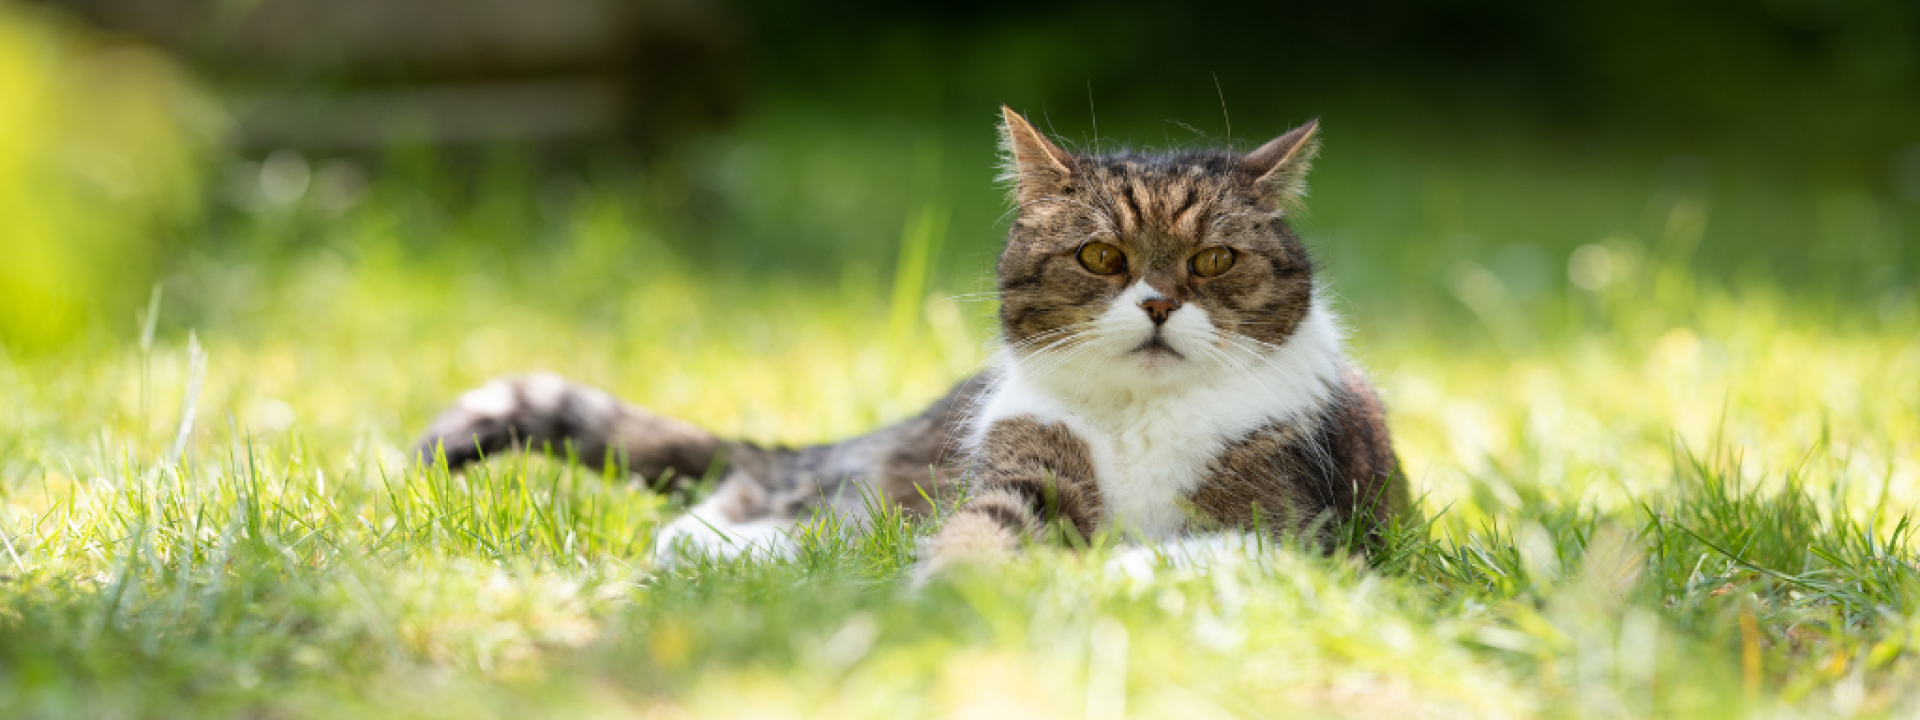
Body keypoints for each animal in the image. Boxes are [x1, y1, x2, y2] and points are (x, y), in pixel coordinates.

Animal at [416, 107, 1413, 579]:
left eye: (1213, 260)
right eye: (1102, 255)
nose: (1162, 304)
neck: (1142, 417)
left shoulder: (1293, 522)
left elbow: (1193, 550)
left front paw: (1104, 572)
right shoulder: (1020, 467)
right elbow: (982, 530)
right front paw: (956, 588)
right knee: (765, 495)